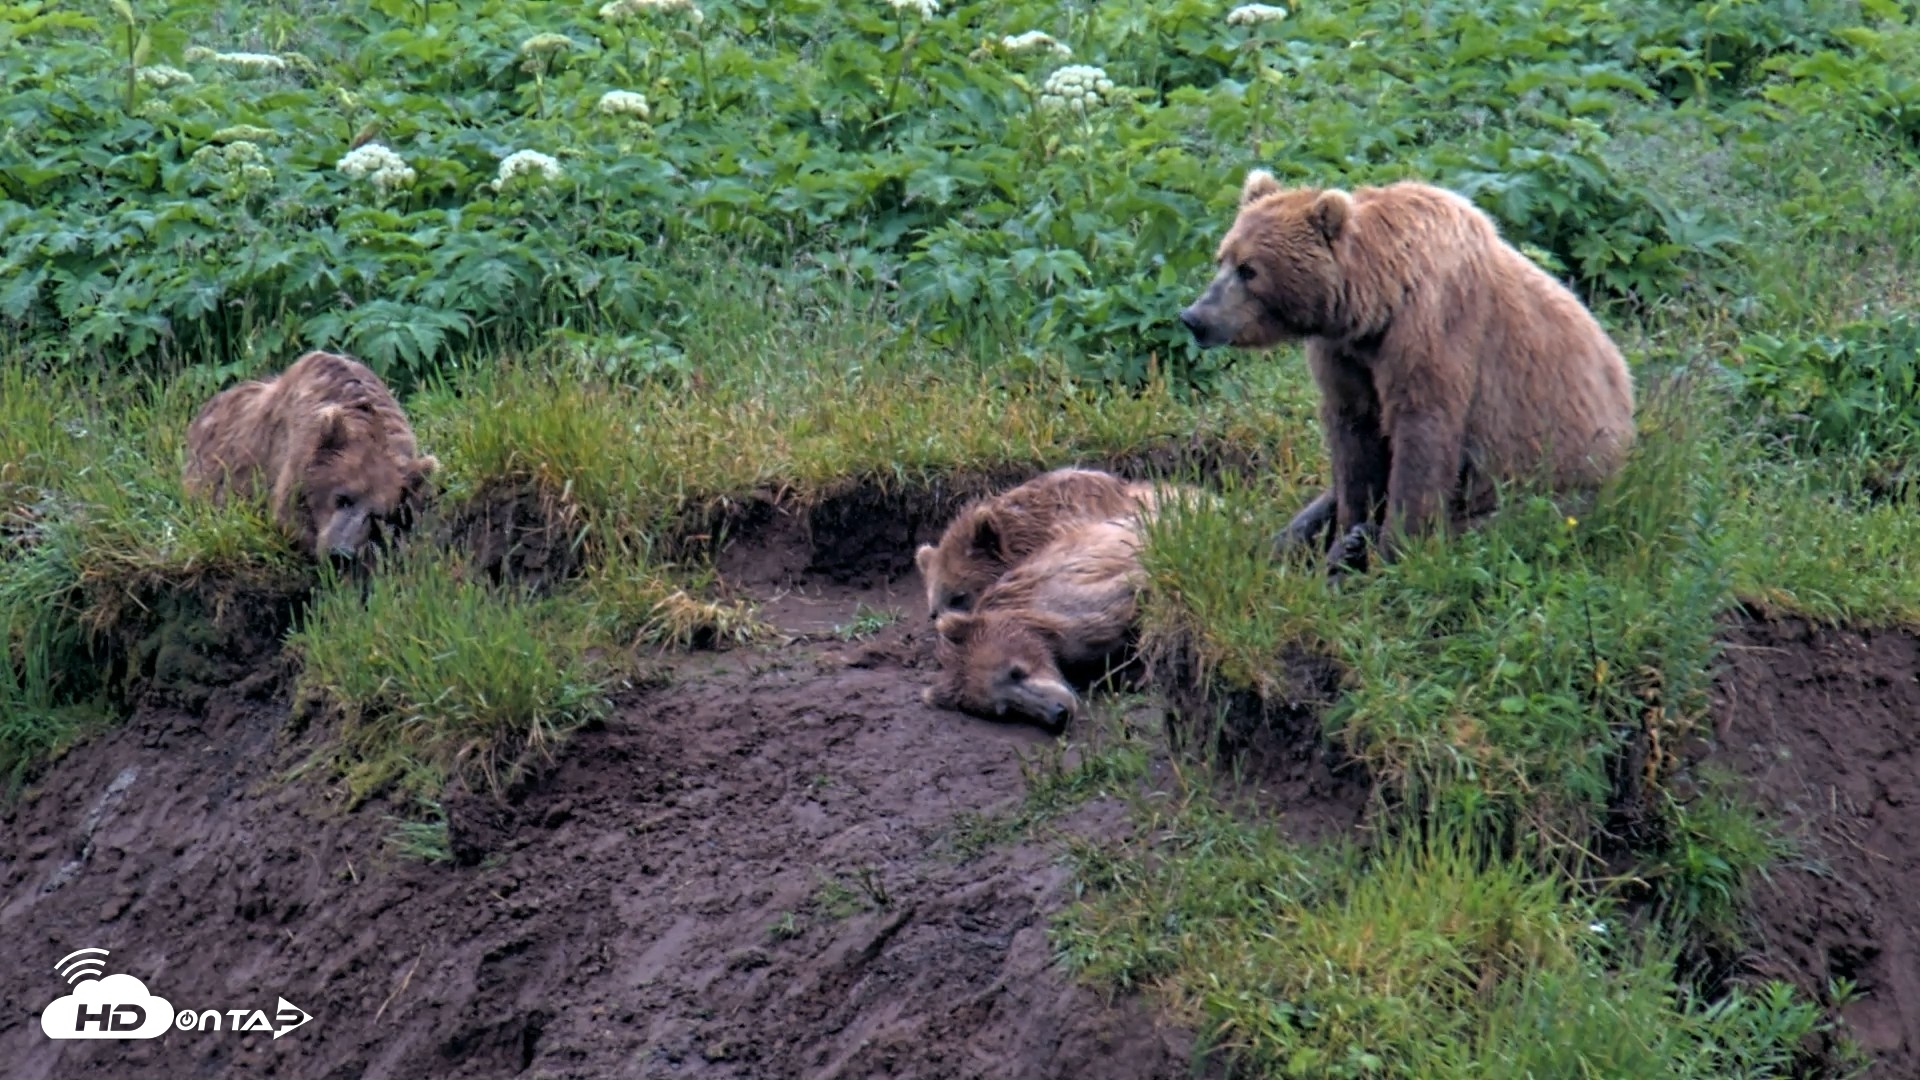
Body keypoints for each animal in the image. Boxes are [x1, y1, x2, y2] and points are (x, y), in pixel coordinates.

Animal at [1178, 171, 1636, 575]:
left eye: (1249, 269)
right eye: (1222, 258)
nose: (1194, 317)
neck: (1380, 302)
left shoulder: (1435, 329)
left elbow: (1422, 436)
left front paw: (1387, 551)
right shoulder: (1345, 354)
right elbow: (1354, 440)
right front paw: (1348, 536)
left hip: (1560, 485)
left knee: (1507, 524)